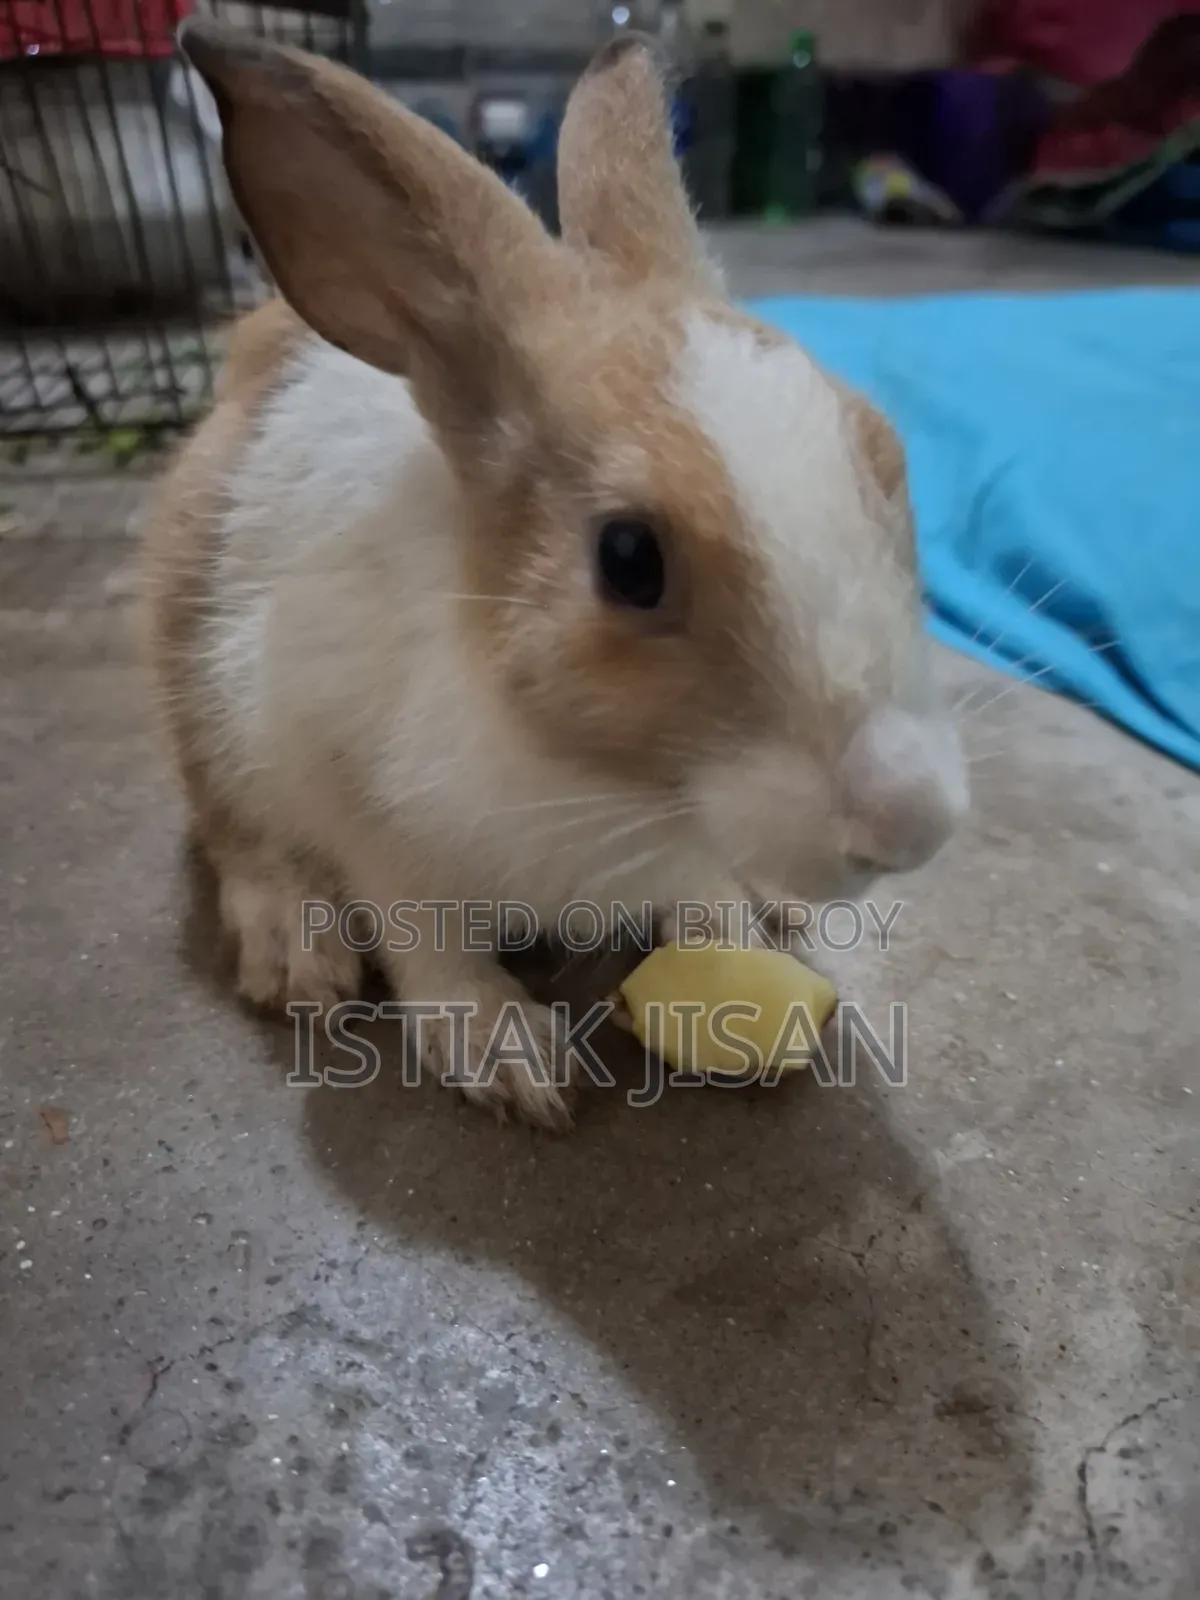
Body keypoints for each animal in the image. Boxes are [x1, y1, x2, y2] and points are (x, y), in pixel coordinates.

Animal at [140, 21, 968, 1130]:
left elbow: (707, 899)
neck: (604, 788)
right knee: (234, 835)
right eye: (629, 558)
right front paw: (509, 1055)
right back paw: (299, 954)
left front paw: (735, 973)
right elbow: (420, 924)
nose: (911, 819)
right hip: (202, 693)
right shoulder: (350, 785)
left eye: (883, 453)